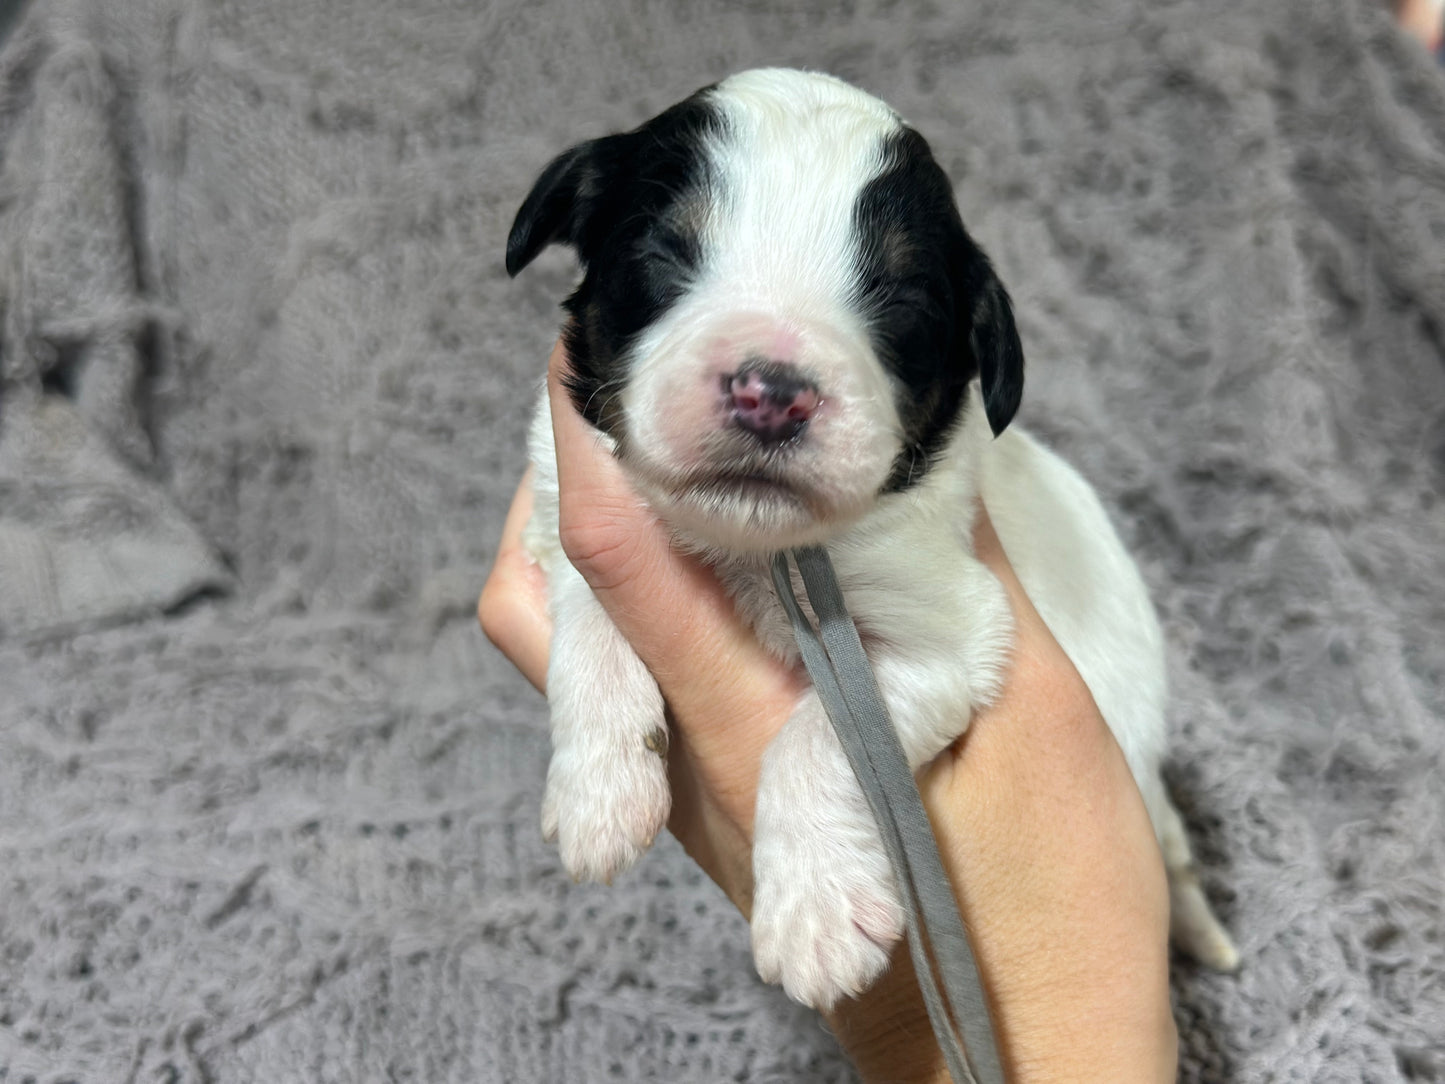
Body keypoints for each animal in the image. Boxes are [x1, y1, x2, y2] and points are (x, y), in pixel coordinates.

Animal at [502, 67, 1236, 1017]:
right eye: (665, 253)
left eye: (898, 301)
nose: (771, 392)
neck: (757, 550)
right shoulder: (568, 508)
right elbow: (590, 627)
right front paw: (599, 796)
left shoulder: (945, 634)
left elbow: (821, 741)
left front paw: (815, 920)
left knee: (1173, 857)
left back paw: (1205, 935)